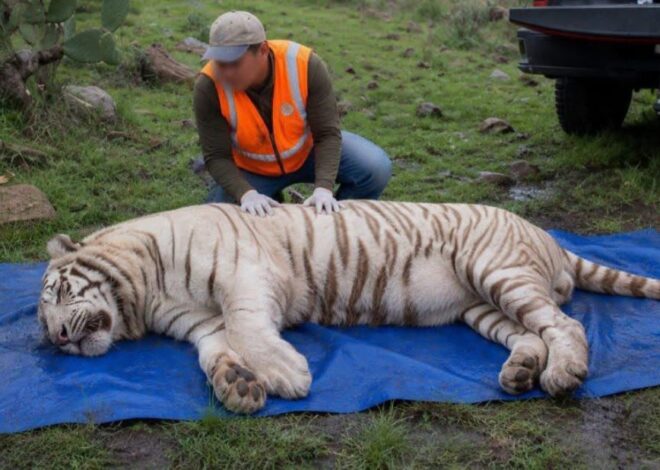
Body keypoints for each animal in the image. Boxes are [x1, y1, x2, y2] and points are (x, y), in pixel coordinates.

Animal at [39, 201, 660, 413]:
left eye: (60, 296)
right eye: (43, 329)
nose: (59, 340)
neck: (144, 294)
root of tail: (548, 234)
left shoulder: (244, 276)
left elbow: (247, 327)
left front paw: (286, 374)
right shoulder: (202, 324)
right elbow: (216, 353)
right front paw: (239, 387)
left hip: (495, 270)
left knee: (565, 322)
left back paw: (563, 373)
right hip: (479, 306)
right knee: (531, 332)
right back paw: (522, 371)